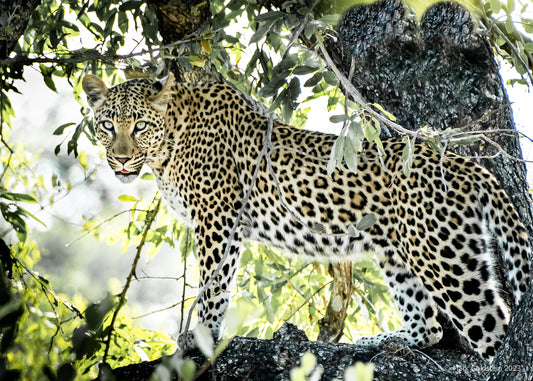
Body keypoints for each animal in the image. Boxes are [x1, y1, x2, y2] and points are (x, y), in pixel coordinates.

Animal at [81, 72, 528, 360]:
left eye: (139, 126)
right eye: (107, 125)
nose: (120, 160)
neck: (167, 146)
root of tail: (468, 166)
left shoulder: (217, 218)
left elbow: (214, 285)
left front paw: (202, 337)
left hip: (448, 261)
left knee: (494, 327)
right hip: (399, 253)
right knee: (430, 325)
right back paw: (378, 342)